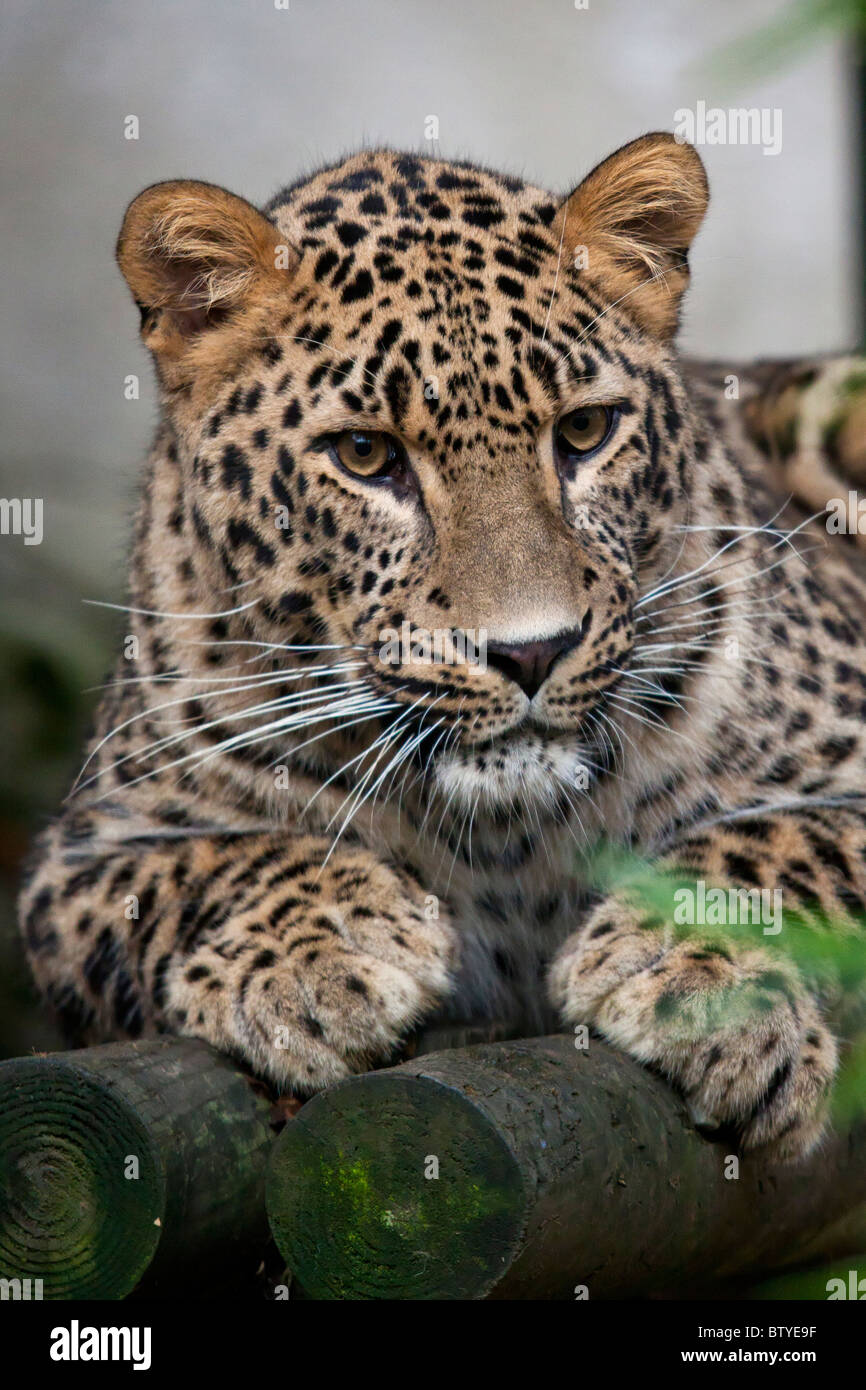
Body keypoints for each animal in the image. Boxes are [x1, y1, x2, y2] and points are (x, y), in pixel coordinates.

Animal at [18, 131, 866, 1164]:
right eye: (365, 455)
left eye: (586, 431)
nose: (533, 653)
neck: (507, 842)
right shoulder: (83, 854)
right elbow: (209, 867)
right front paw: (320, 956)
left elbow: (782, 839)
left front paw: (695, 969)